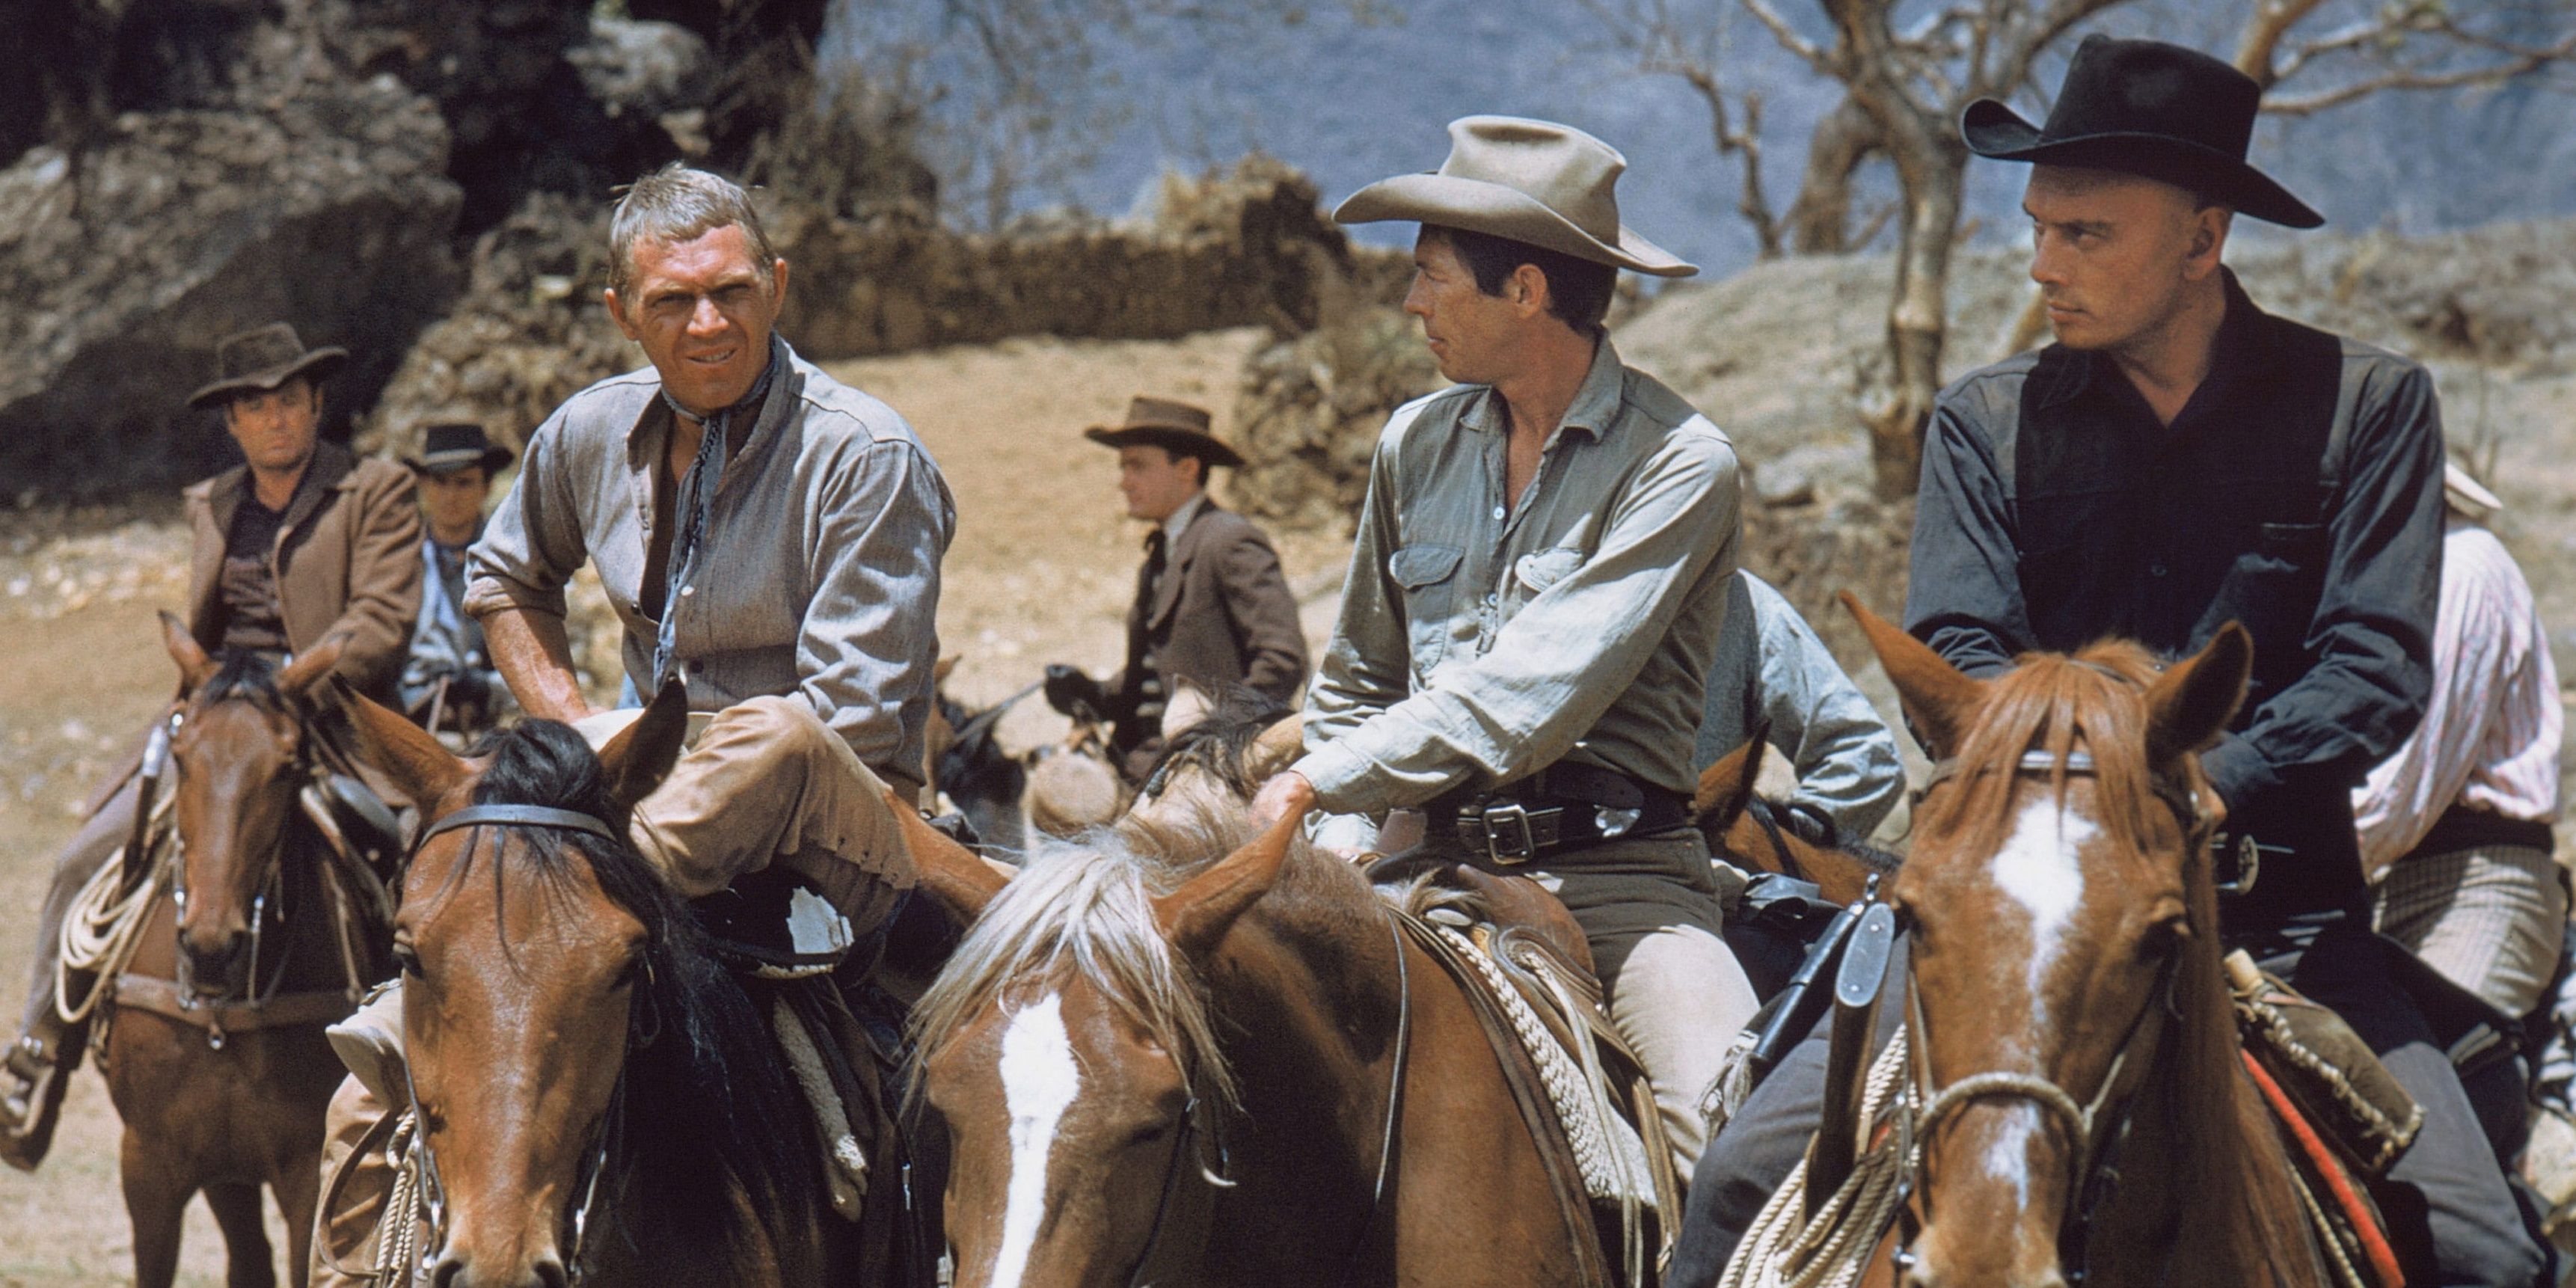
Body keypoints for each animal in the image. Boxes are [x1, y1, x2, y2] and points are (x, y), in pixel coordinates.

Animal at [97, 618, 386, 1283]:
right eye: (181, 756)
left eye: (288, 765)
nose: (211, 947)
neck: (220, 1012)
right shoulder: (150, 1164)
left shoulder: (309, 1172)